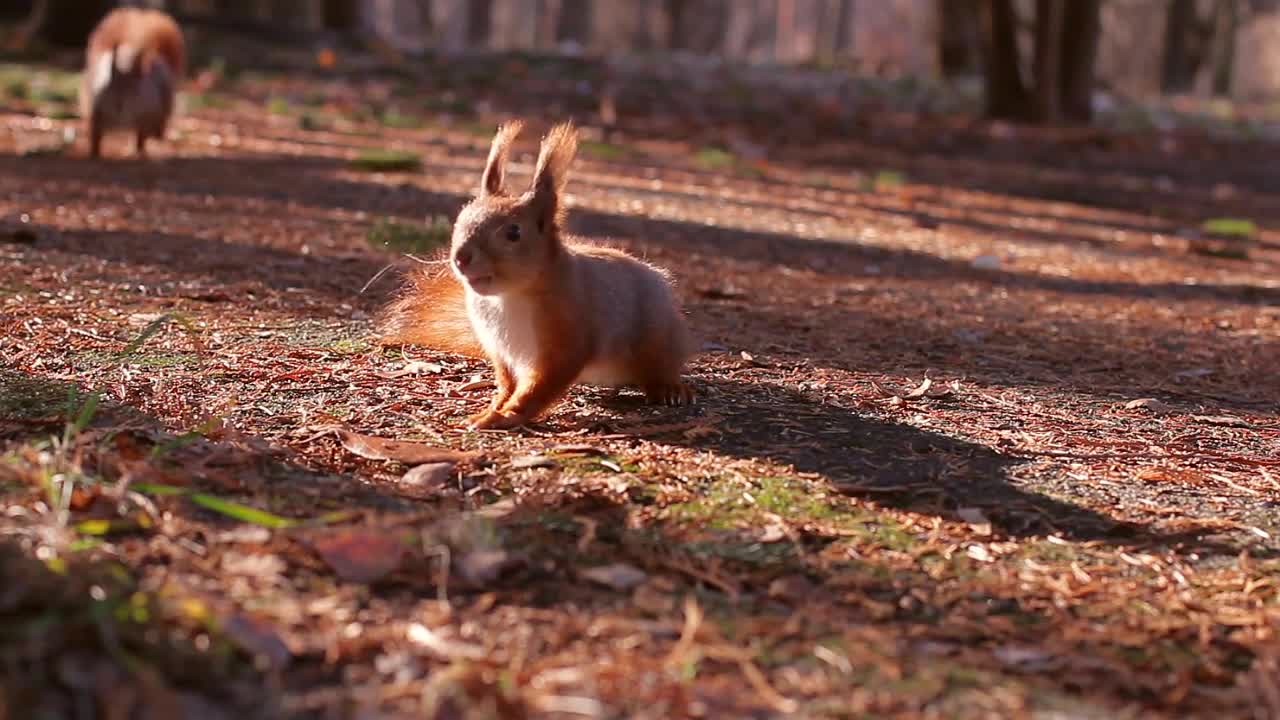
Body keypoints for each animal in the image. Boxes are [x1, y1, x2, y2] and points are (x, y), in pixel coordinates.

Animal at [79, 8, 185, 156]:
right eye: (109, 84)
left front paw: (140, 150)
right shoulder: (96, 111)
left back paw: (155, 139)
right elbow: (95, 137)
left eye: (136, 90)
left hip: (163, 105)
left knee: (156, 126)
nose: (119, 105)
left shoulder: (147, 113)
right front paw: (94, 153)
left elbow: (141, 137)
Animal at [381, 120, 701, 427]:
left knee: (659, 367)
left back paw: (670, 388)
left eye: (513, 232)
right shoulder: (500, 350)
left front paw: (506, 416)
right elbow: (508, 383)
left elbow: (540, 386)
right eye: (460, 220)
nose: (461, 257)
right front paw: (494, 407)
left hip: (657, 336)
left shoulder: (567, 340)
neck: (508, 297)